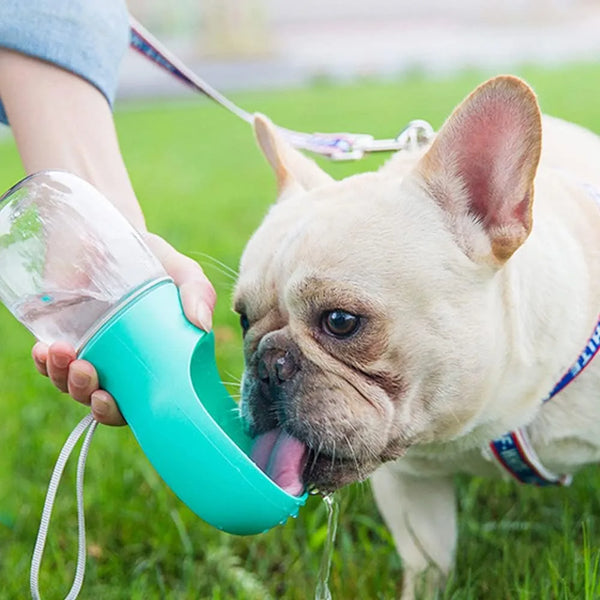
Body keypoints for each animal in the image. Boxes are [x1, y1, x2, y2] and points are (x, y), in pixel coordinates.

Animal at [232, 77, 600, 596]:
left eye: (340, 321)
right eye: (243, 319)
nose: (267, 362)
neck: (484, 421)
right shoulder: (410, 488)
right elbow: (429, 563)